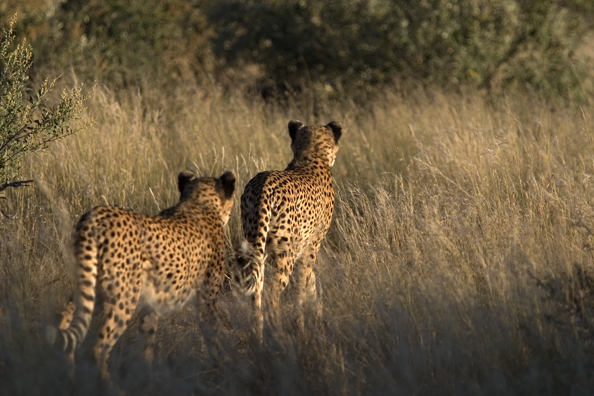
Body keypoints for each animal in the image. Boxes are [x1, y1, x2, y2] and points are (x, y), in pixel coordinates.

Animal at [48, 171, 235, 380]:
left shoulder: (152, 302)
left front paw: (147, 375)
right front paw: (222, 368)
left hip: (90, 287)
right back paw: (108, 384)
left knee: (66, 326)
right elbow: (213, 337)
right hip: (124, 297)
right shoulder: (206, 301)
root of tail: (96, 215)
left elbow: (147, 341)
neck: (199, 202)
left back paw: (69, 376)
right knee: (98, 348)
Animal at [232, 119, 342, 338]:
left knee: (256, 289)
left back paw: (258, 331)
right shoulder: (311, 246)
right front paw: (303, 324)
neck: (310, 156)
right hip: (285, 252)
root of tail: (263, 185)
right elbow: (303, 284)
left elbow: (309, 282)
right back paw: (278, 332)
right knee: (272, 291)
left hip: (255, 244)